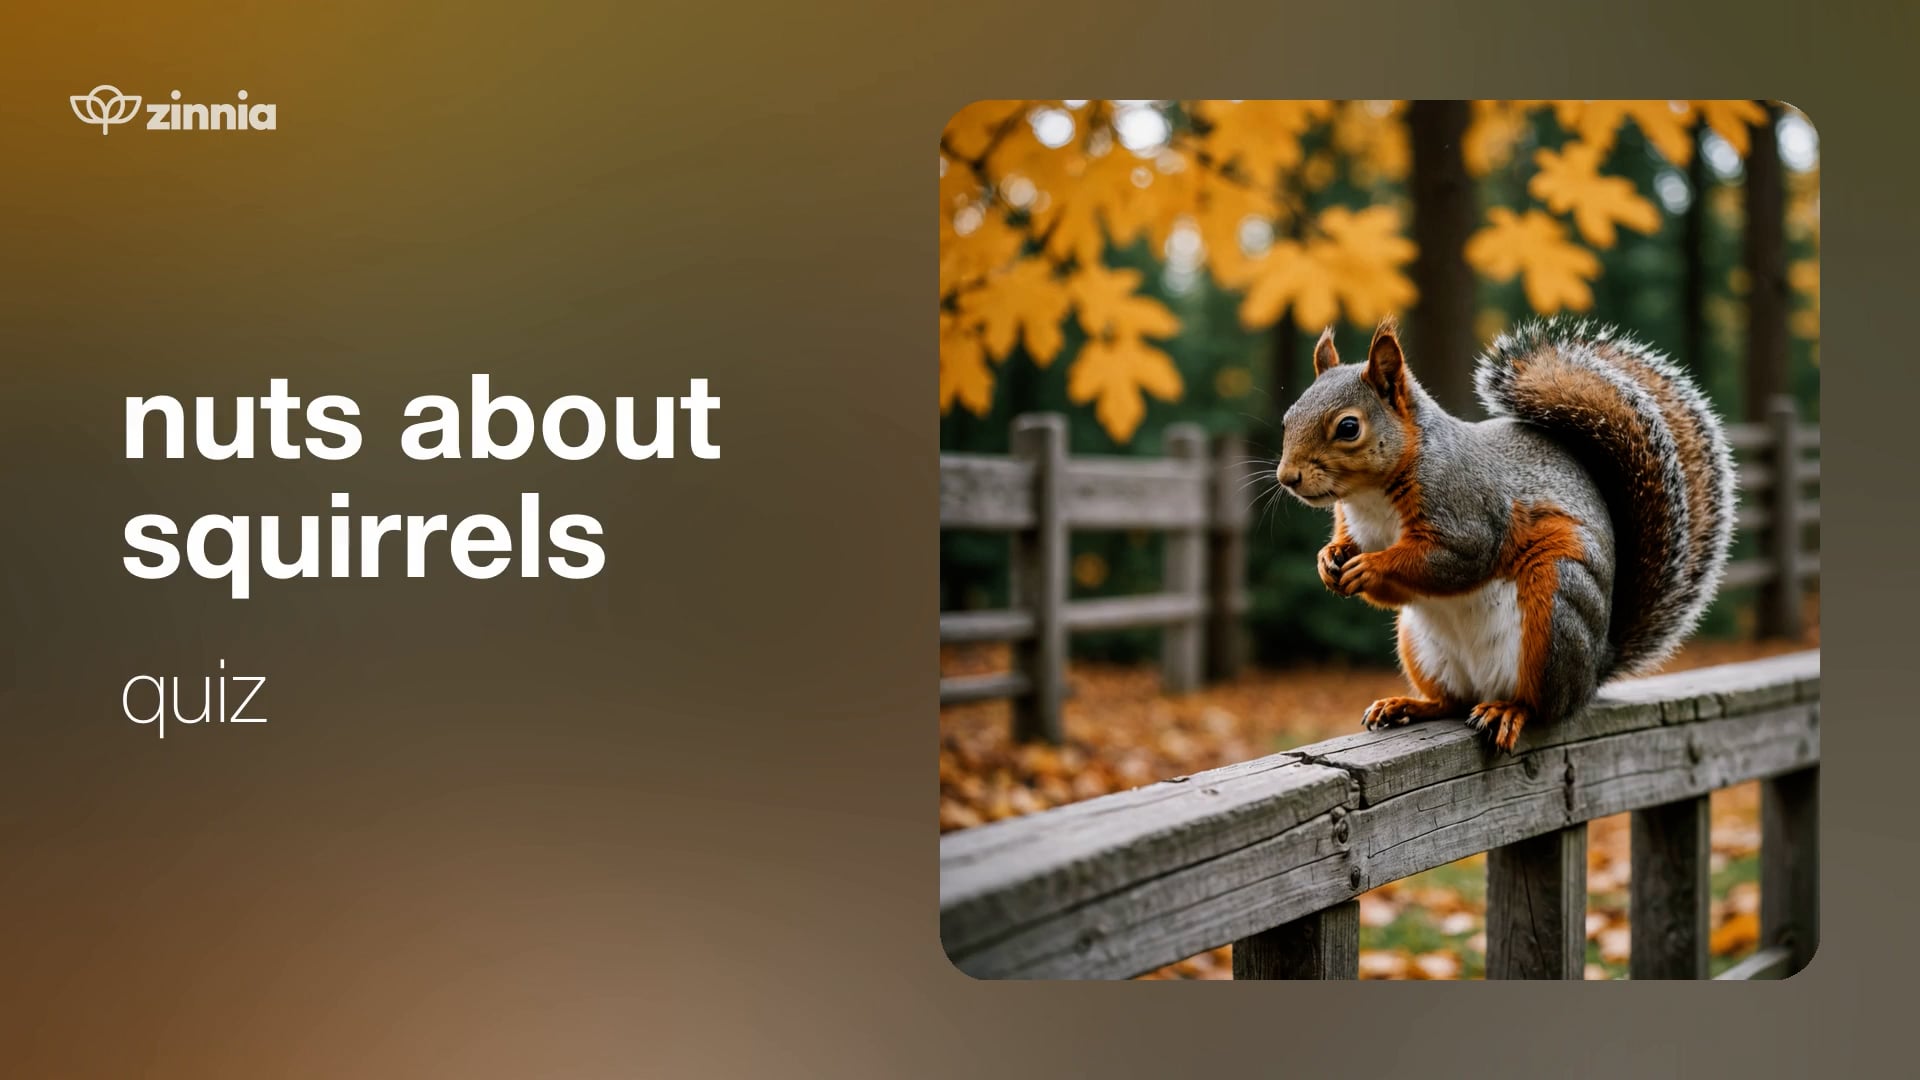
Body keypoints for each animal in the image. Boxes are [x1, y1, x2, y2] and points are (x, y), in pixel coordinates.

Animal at [1276, 316, 1735, 753]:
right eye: (1287, 419)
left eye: (1348, 428)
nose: (1287, 477)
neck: (1370, 498)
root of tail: (1595, 668)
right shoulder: (1355, 523)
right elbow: (1357, 555)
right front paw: (1328, 558)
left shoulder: (1467, 516)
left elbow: (1448, 560)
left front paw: (1371, 566)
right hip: (1422, 648)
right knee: (1451, 702)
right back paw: (1407, 705)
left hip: (1554, 609)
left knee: (1542, 704)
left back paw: (1508, 711)